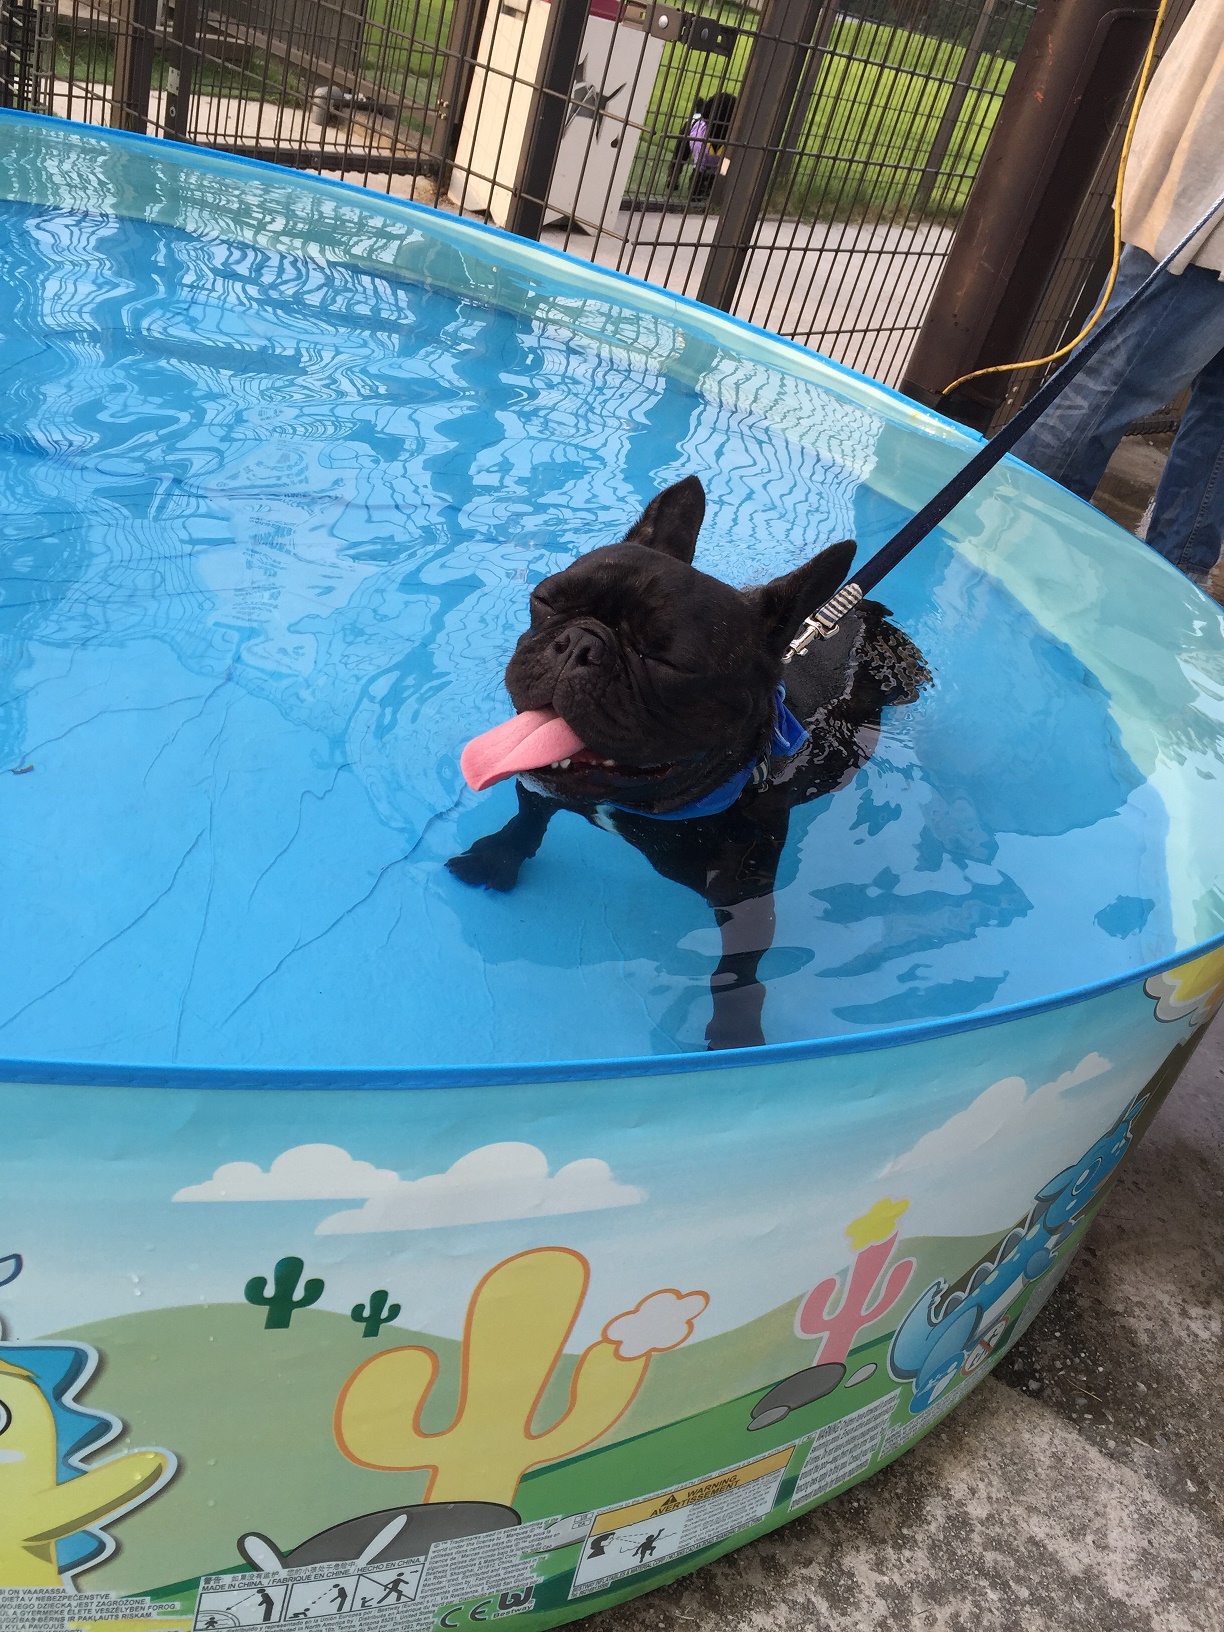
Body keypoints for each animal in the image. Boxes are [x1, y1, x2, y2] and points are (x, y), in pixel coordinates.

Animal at [448, 476, 928, 1049]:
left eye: (667, 662)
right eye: (543, 599)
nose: (579, 641)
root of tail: (860, 604)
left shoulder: (745, 901)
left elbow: (737, 971)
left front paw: (735, 1031)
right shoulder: (540, 787)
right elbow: (527, 817)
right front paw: (497, 857)